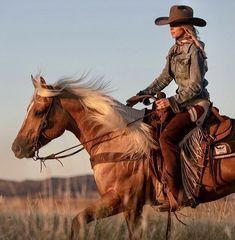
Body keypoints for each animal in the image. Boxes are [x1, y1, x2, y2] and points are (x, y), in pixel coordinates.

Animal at [12, 75, 235, 240]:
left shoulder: (120, 199)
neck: (118, 141)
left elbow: (78, 221)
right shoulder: (133, 208)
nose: (17, 148)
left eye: (39, 111)